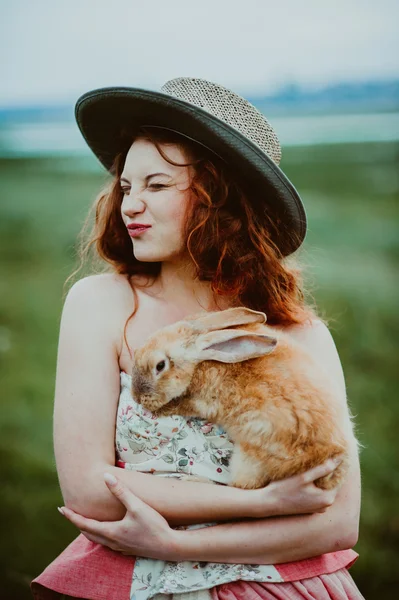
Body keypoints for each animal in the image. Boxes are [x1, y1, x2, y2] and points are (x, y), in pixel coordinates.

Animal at [130, 308, 354, 490]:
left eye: (160, 366)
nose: (137, 397)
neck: (200, 363)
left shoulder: (203, 403)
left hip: (249, 458)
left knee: (240, 486)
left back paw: (192, 480)